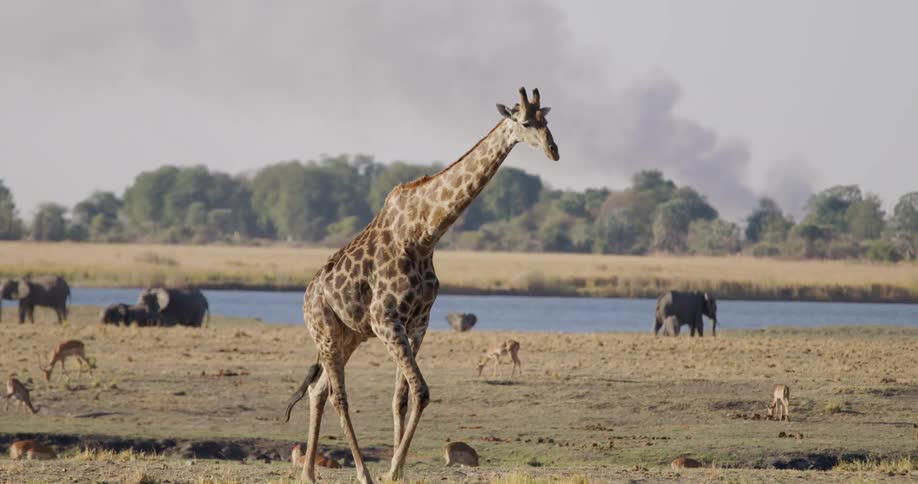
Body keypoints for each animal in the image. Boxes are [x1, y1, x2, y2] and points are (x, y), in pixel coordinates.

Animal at [284, 87, 559, 484]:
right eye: (524, 122)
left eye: (547, 120)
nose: (554, 150)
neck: (423, 235)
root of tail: (306, 297)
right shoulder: (386, 320)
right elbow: (422, 391)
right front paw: (391, 469)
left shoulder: (417, 322)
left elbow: (404, 396)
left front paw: (397, 469)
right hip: (325, 333)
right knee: (337, 396)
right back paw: (362, 473)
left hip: (347, 336)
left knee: (318, 390)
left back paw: (308, 473)